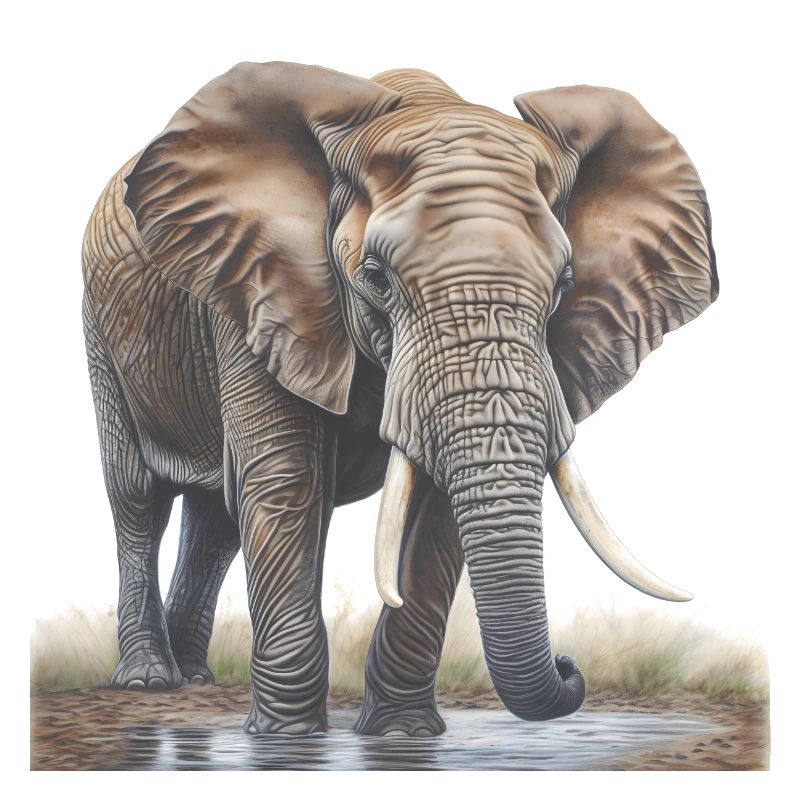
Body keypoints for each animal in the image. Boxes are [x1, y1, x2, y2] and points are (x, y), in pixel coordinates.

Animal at [82, 62, 718, 736]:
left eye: (565, 283)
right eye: (376, 277)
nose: (571, 667)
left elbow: (434, 505)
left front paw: (400, 733)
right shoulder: (257, 289)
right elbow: (286, 479)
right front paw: (286, 739)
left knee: (216, 521)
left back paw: (196, 678)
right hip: (102, 331)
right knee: (138, 499)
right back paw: (149, 680)